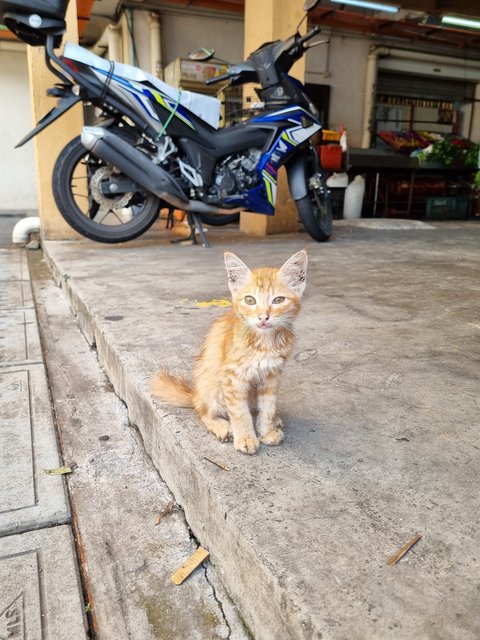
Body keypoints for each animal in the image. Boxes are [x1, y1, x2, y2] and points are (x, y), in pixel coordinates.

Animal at [151, 250, 308, 456]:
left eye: (278, 300)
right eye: (250, 300)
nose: (263, 317)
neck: (263, 342)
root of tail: (195, 395)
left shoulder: (272, 376)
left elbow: (268, 406)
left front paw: (266, 431)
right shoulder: (232, 377)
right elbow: (239, 412)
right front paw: (246, 438)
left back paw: (274, 421)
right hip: (211, 387)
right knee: (204, 412)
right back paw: (223, 427)